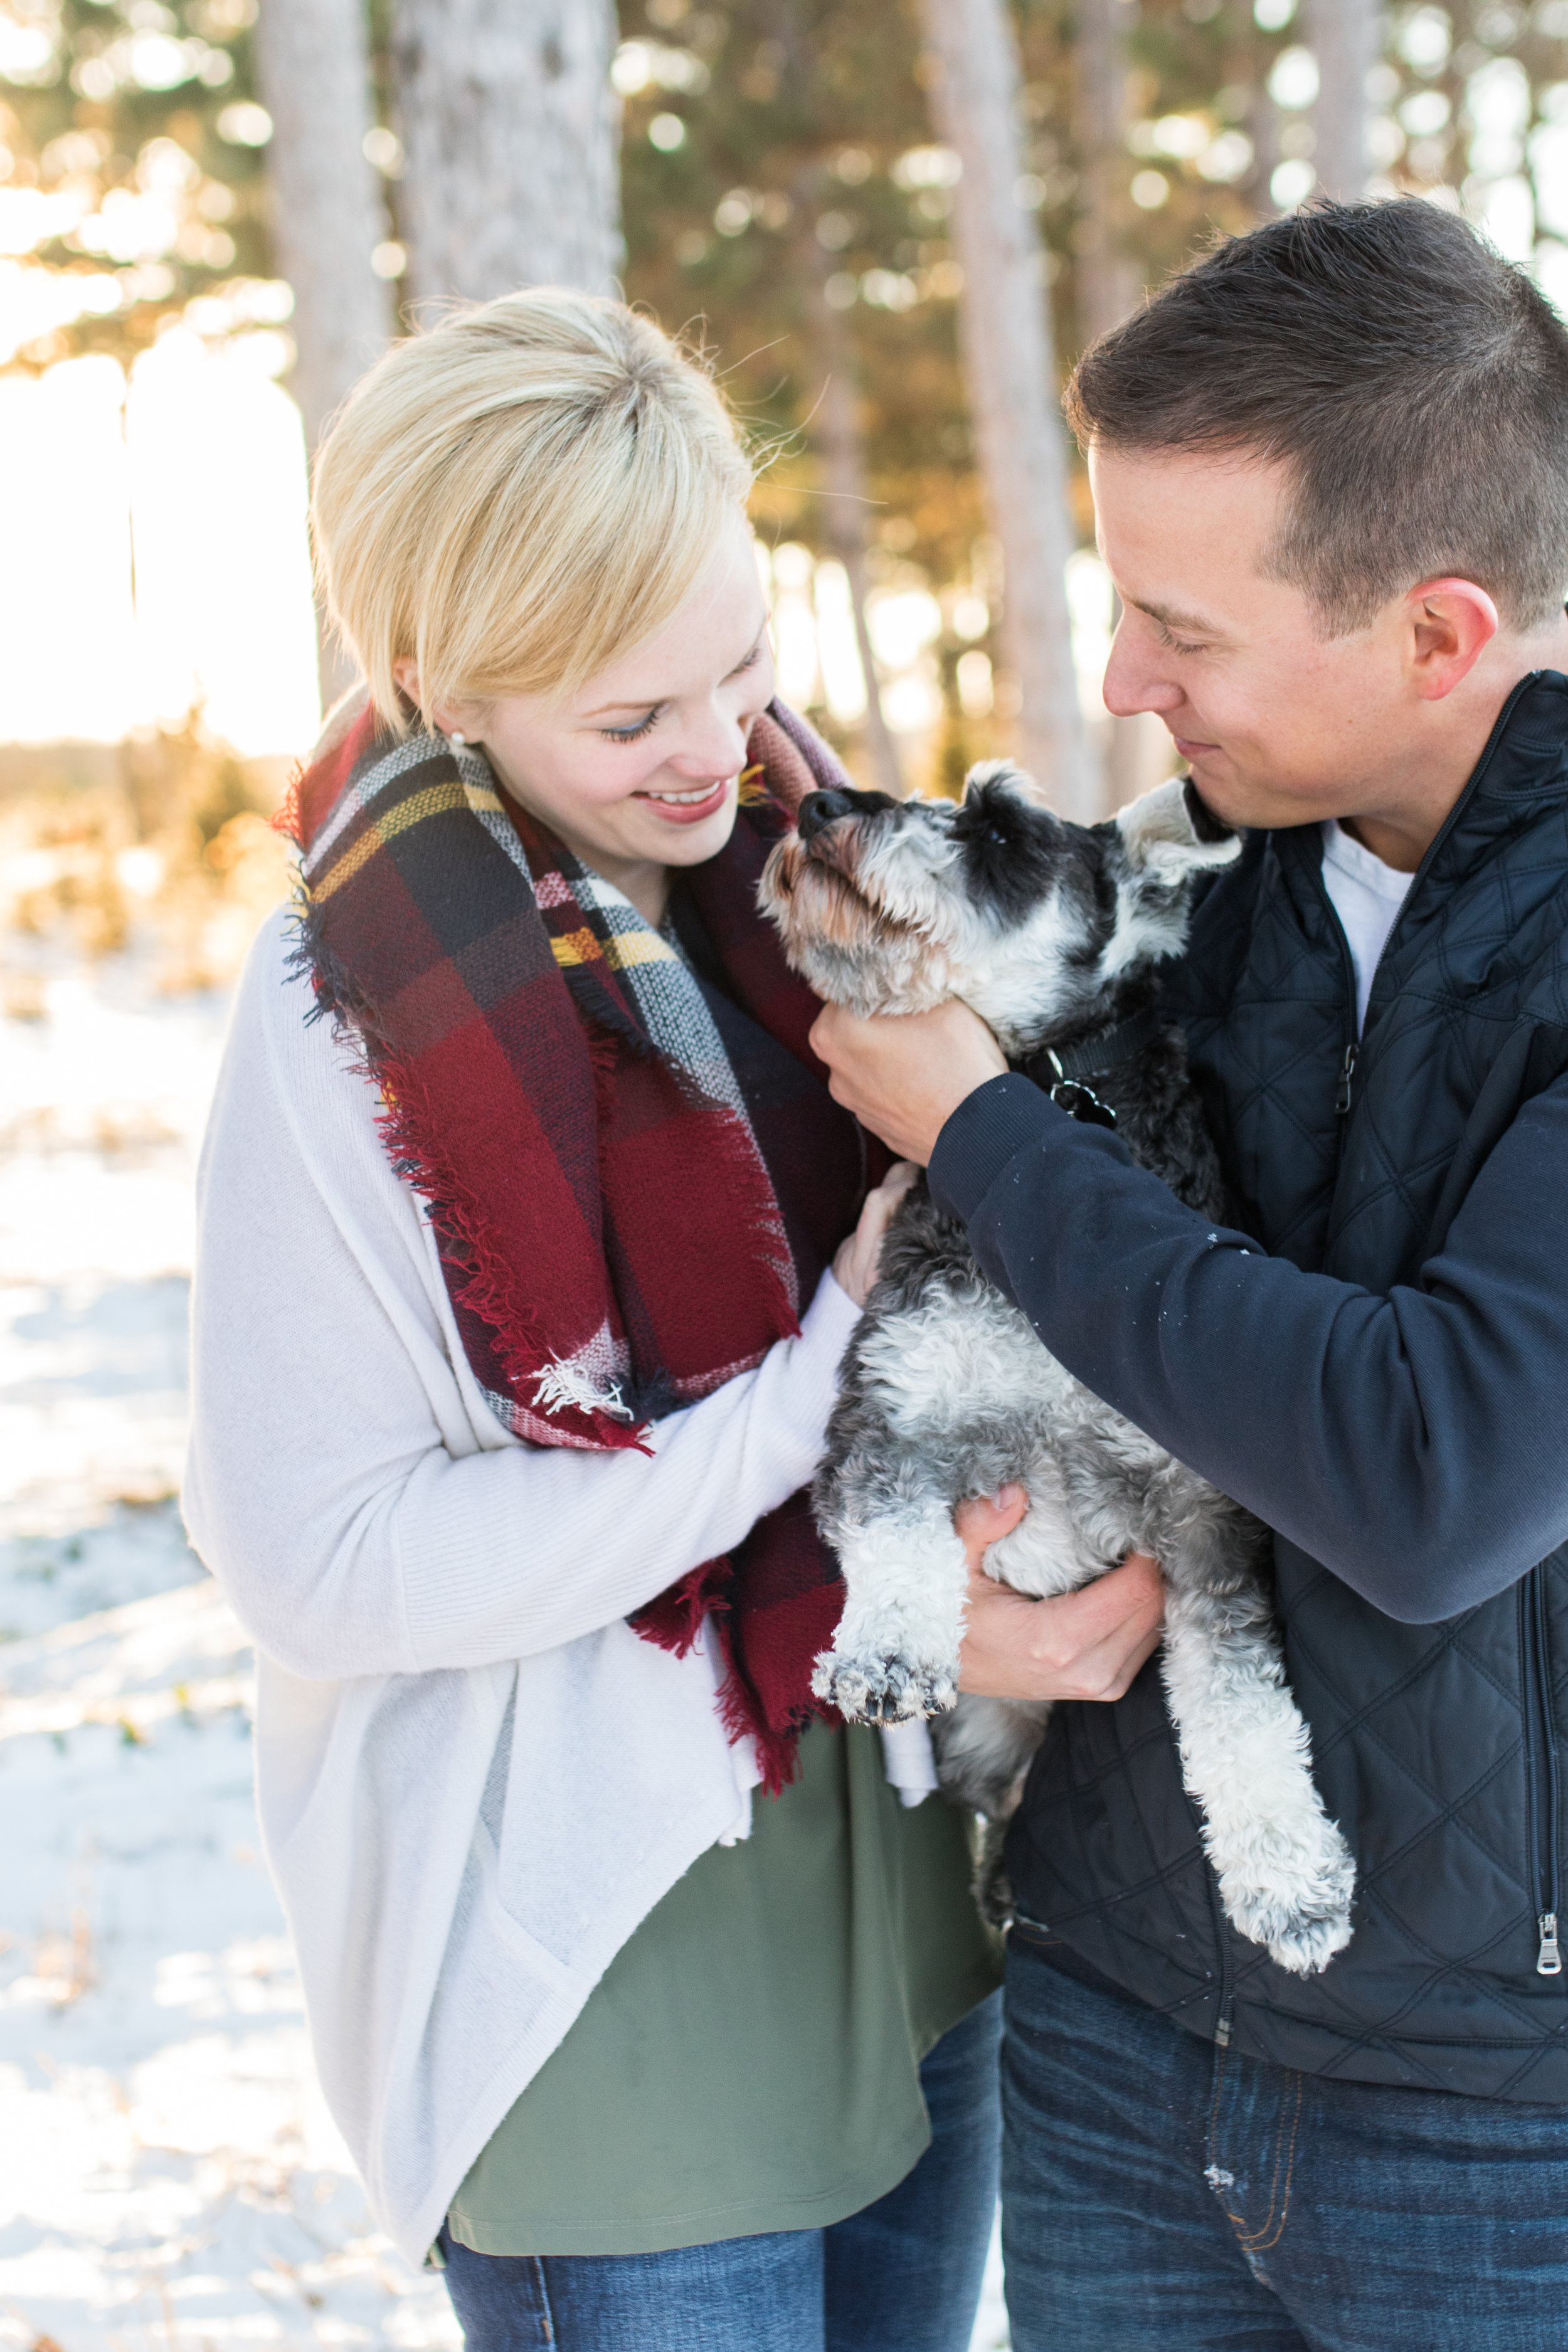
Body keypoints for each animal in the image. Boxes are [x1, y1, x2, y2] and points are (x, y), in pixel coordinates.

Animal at [752, 762, 1353, 1976]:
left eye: (998, 832)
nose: (820, 806)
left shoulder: (1206, 1509)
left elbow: (1242, 1702)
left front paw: (1291, 1881)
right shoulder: (893, 1418)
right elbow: (894, 1541)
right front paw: (884, 1653)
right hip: (980, 1746)